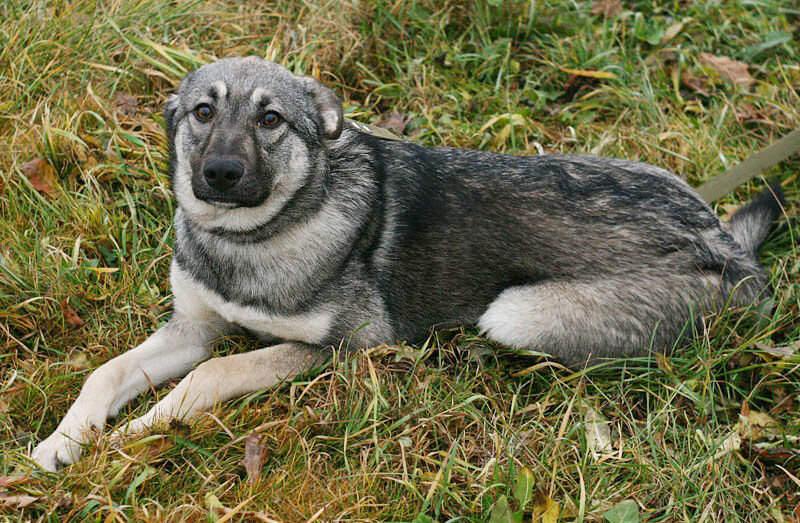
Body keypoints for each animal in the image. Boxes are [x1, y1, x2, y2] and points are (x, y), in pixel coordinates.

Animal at [29, 56, 780, 470]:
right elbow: (107, 372)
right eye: (202, 112)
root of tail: (727, 248)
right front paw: (65, 440)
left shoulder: (340, 347)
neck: (252, 237)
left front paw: (137, 432)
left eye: (272, 120)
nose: (218, 175)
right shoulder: (190, 328)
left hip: (515, 312)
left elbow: (213, 374)